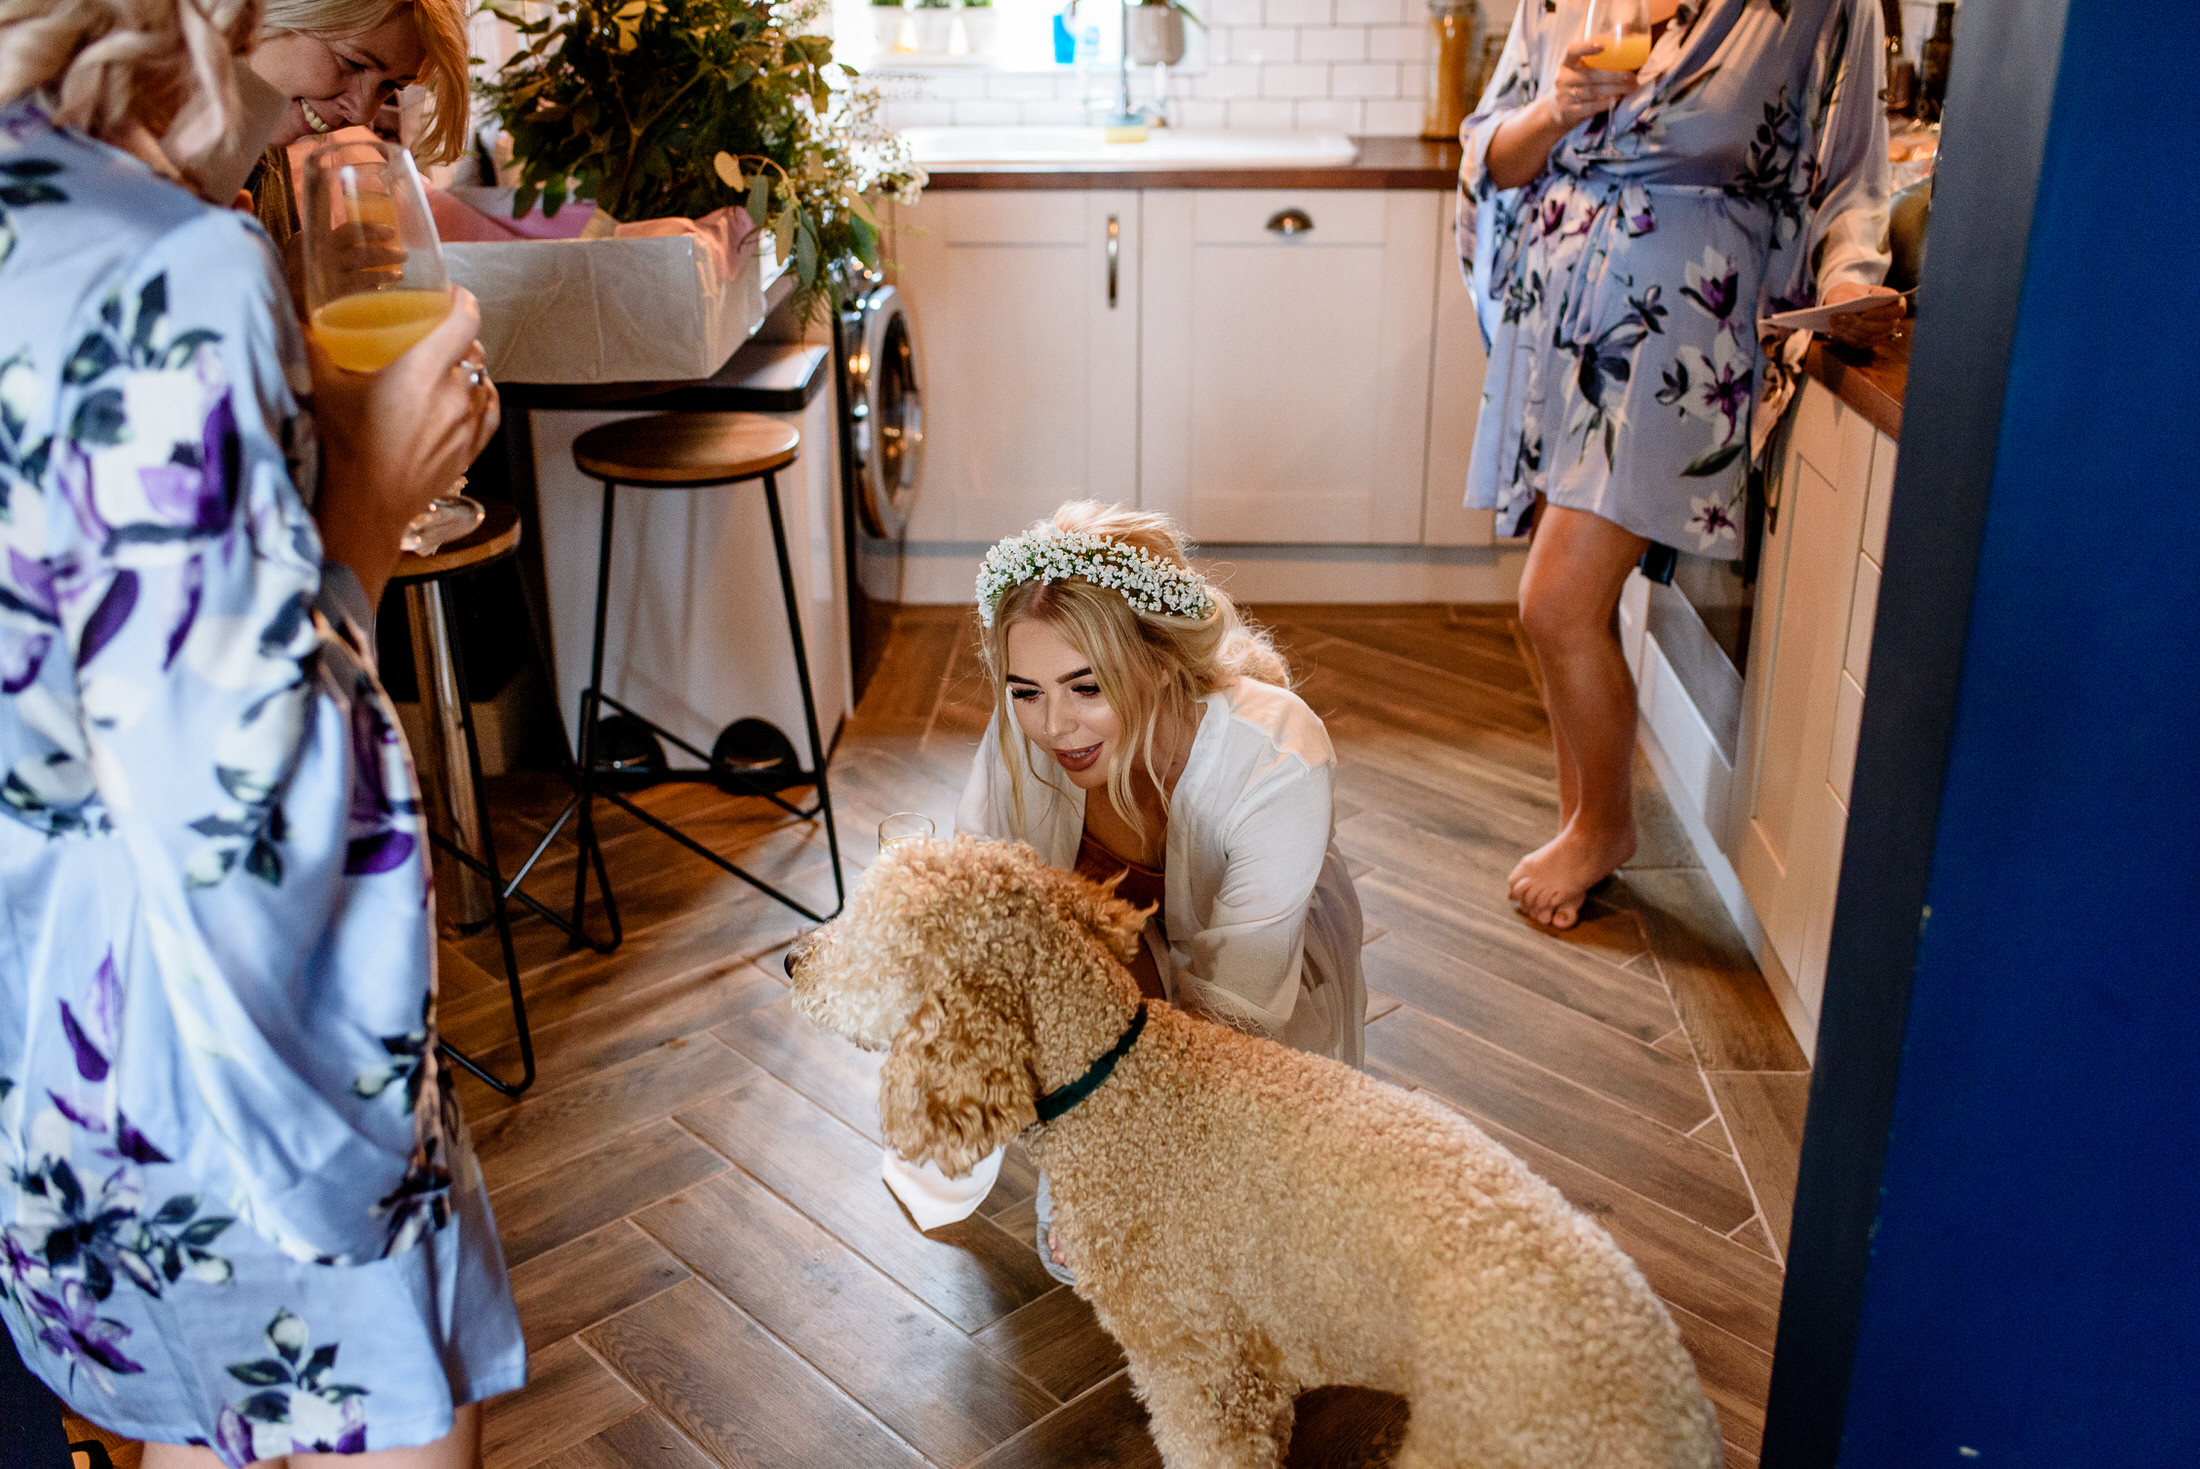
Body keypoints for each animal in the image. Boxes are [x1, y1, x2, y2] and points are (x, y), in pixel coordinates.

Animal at [783, 835, 1724, 1468]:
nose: (791, 958)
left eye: (865, 935)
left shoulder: (1192, 1364)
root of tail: (1673, 1406)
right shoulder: (1250, 1373)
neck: (1121, 1080)